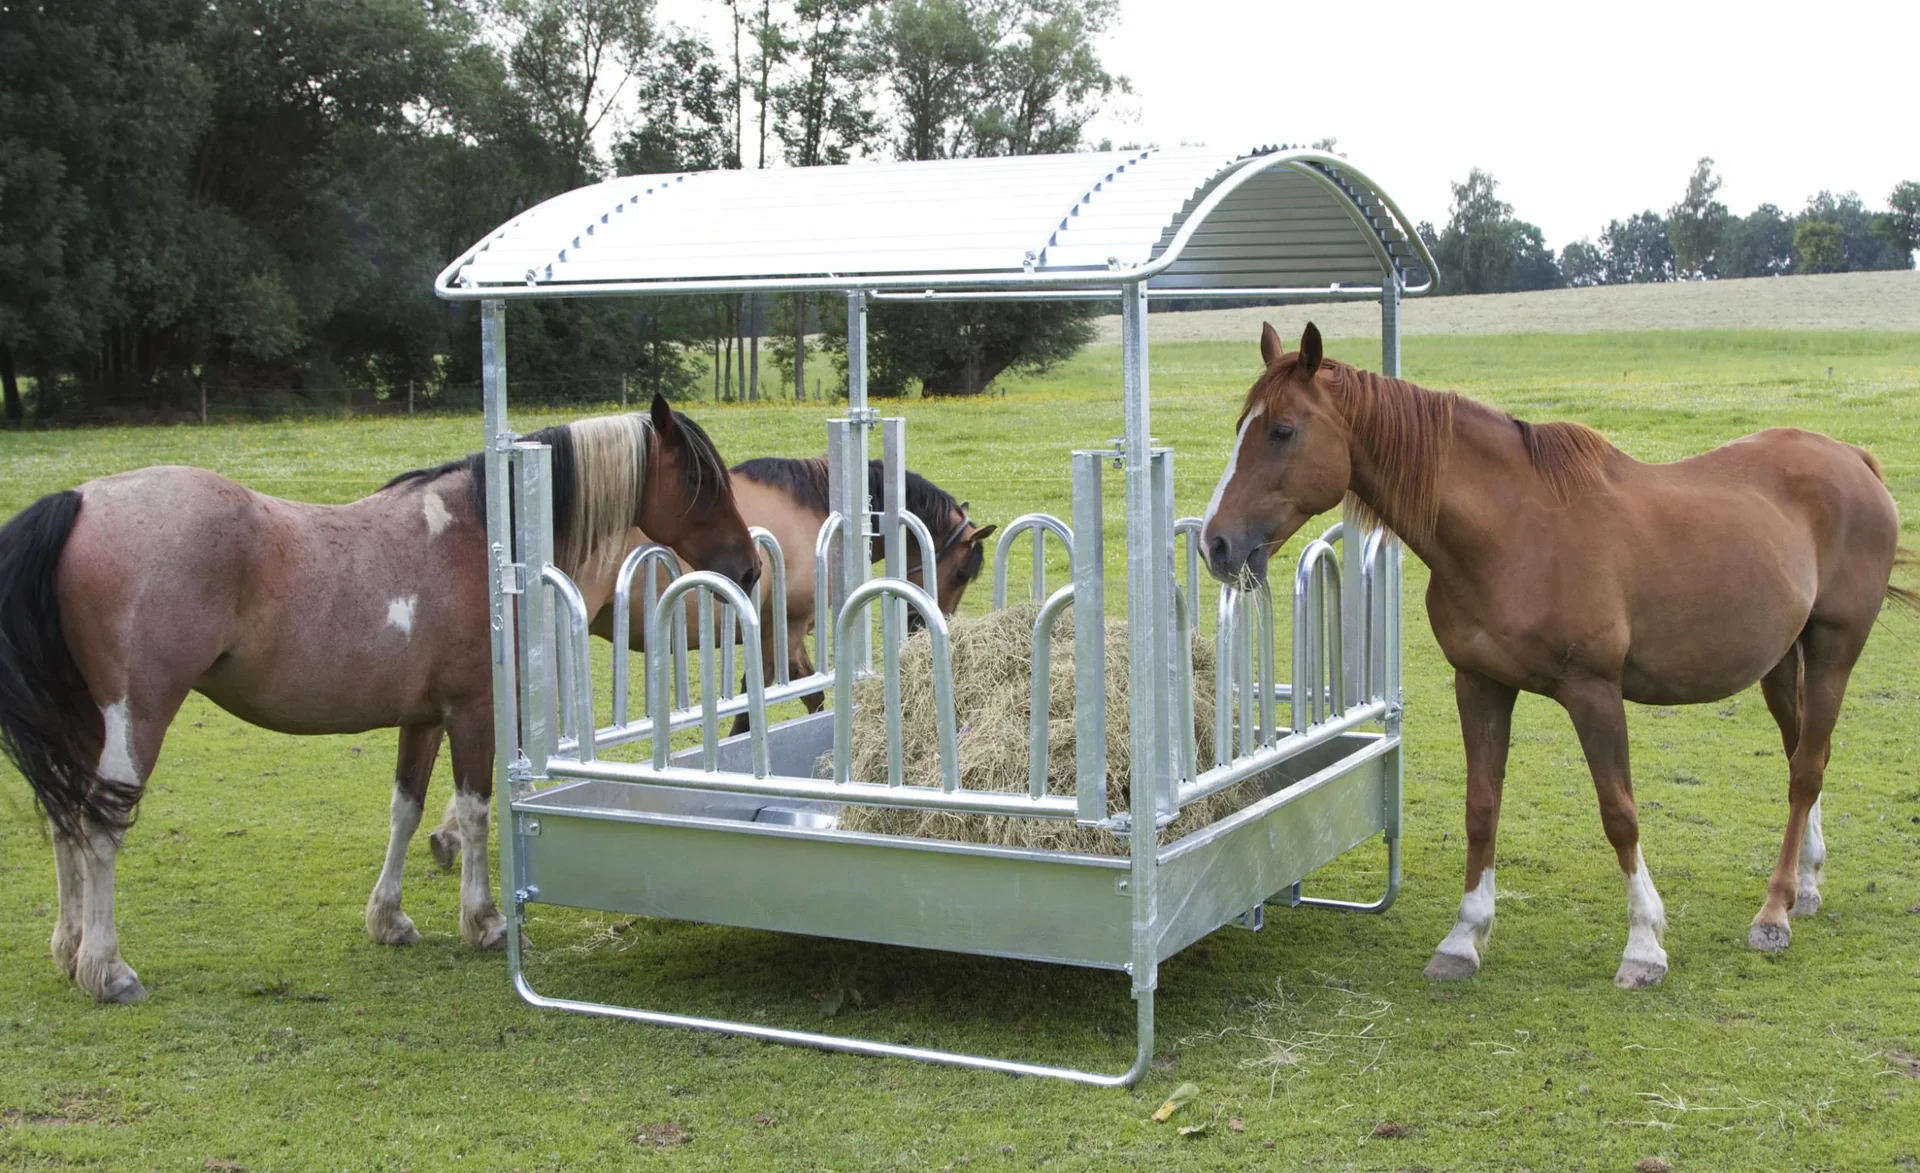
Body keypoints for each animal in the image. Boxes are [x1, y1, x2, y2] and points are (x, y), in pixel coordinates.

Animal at [0, 396, 757, 1003]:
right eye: (701, 479)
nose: (748, 567)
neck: (489, 540)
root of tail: (79, 501)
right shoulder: (474, 713)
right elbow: (476, 812)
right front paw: (484, 920)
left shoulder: (422, 717)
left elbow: (405, 808)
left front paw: (389, 918)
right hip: (138, 716)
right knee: (99, 828)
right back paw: (107, 968)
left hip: (82, 722)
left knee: (66, 820)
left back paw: (69, 949)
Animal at [1200, 323, 1912, 989]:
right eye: (1240, 428)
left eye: (1282, 431)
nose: (1216, 545)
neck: (1513, 532)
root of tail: (1853, 459)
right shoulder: (1479, 684)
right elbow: (1481, 809)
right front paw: (1463, 938)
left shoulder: (1594, 691)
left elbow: (1619, 813)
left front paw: (1644, 946)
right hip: (1780, 662)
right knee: (1803, 756)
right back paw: (1806, 886)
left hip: (1834, 650)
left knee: (1806, 770)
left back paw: (1774, 913)